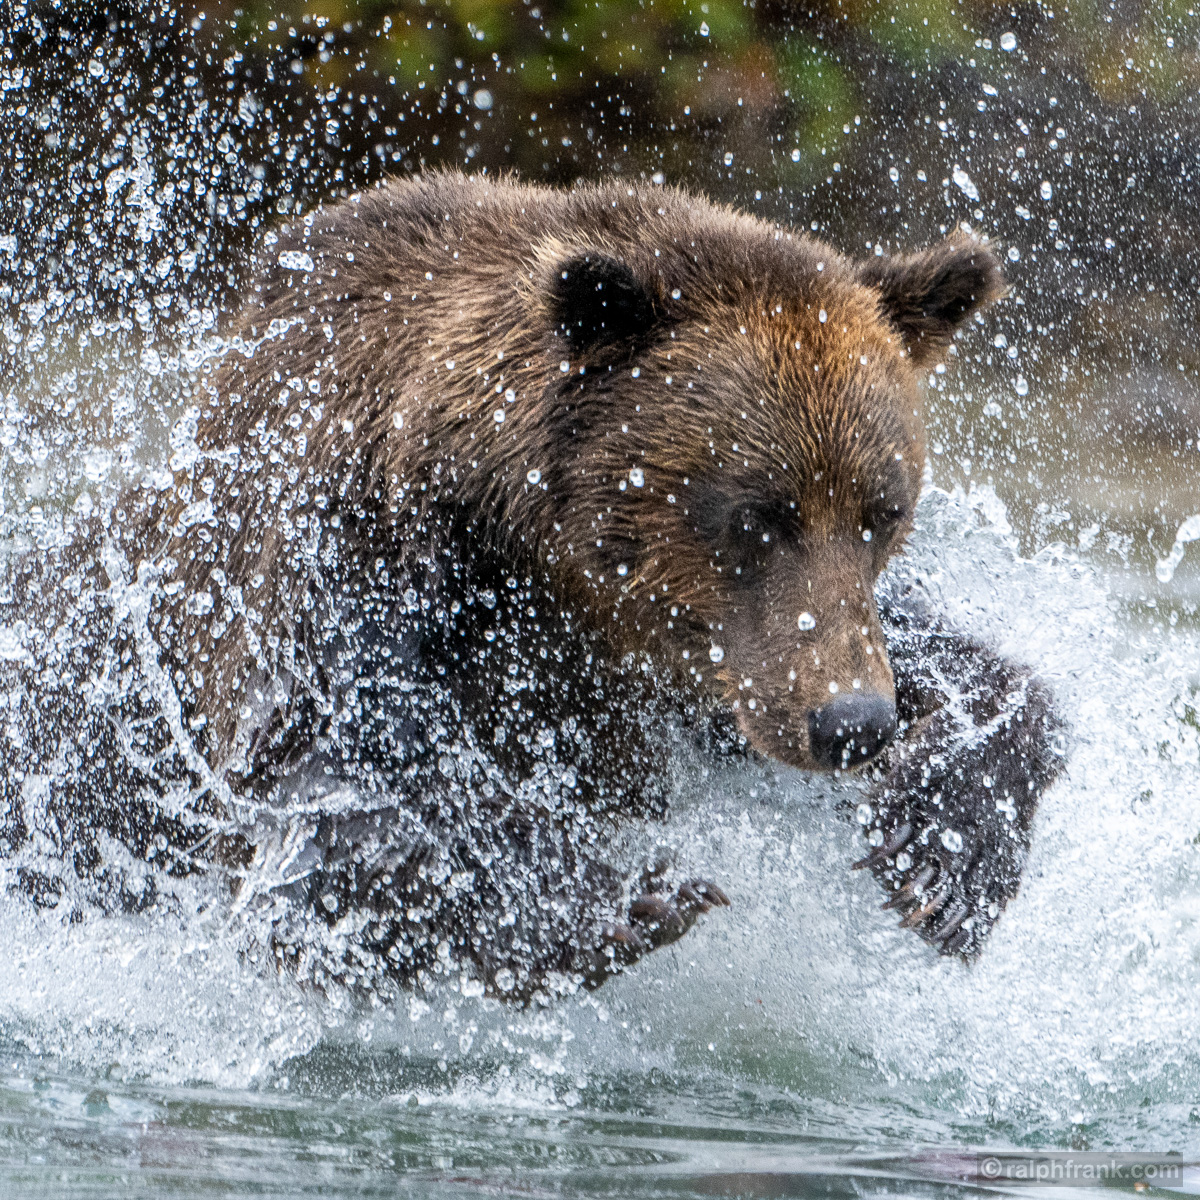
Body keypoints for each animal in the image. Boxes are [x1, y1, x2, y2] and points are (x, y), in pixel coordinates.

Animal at [0, 172, 1062, 1003]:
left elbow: (971, 673)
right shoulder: (339, 568)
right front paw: (627, 894)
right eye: (758, 513)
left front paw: (945, 853)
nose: (853, 723)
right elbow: (329, 798)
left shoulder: (703, 664)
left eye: (884, 509)